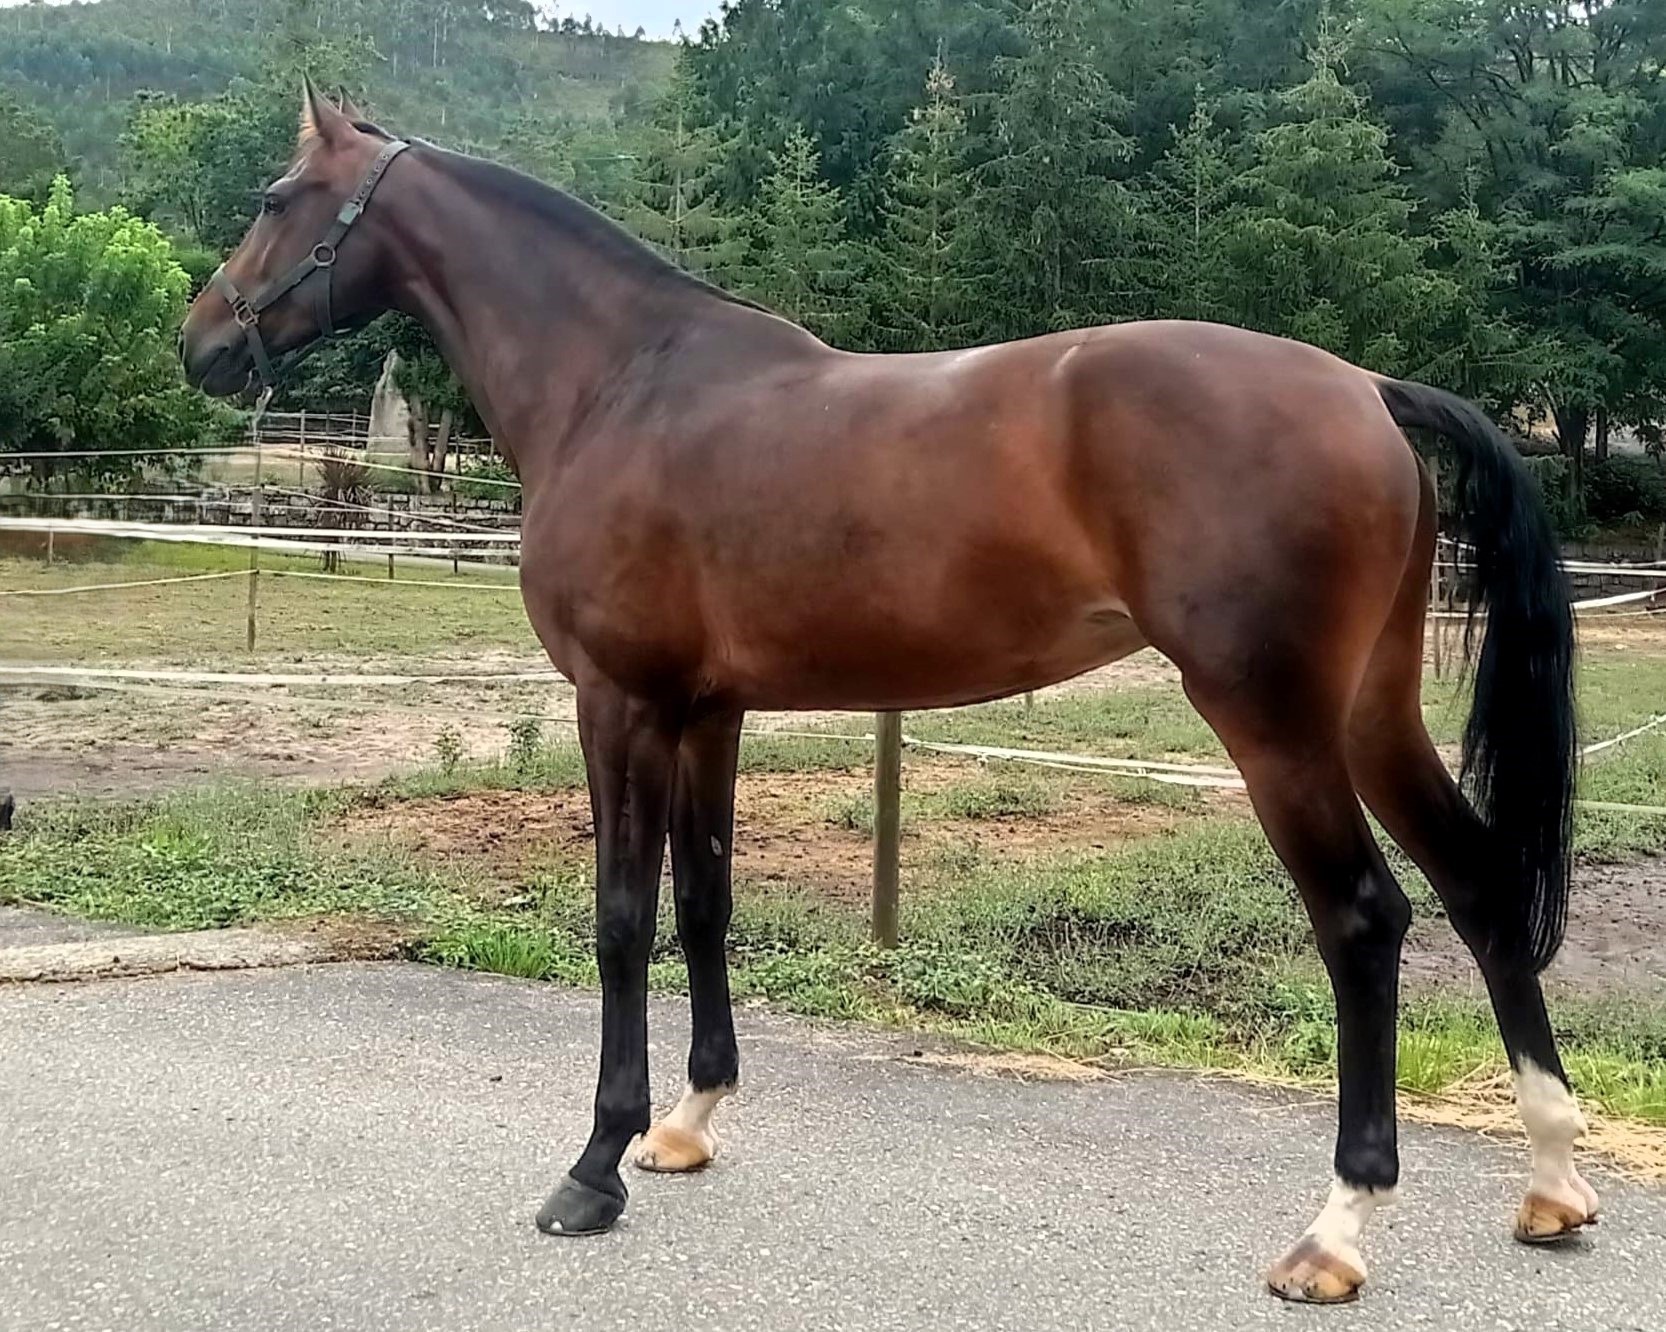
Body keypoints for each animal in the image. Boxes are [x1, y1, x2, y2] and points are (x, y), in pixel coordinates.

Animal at [181, 84, 1596, 1303]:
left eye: (271, 196)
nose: (204, 341)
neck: (622, 379)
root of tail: (1363, 387)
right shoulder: (708, 711)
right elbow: (704, 904)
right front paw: (687, 1124)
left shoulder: (617, 702)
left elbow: (622, 920)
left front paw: (593, 1169)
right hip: (1370, 714)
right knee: (1479, 891)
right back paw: (1551, 1183)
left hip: (1273, 724)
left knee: (1364, 920)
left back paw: (1335, 1234)